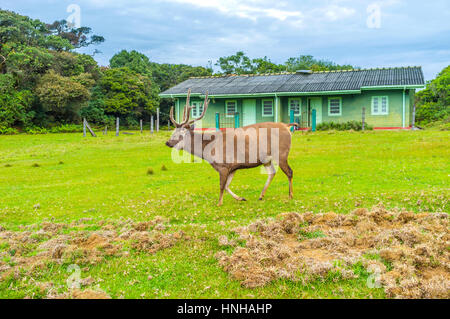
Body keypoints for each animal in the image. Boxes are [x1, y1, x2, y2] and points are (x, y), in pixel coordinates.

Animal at [167, 89, 298, 208]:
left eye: (181, 133)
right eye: (173, 131)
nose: (167, 142)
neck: (209, 150)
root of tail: (287, 126)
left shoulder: (224, 165)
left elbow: (221, 185)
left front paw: (219, 203)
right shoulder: (233, 167)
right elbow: (226, 186)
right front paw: (241, 198)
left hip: (281, 153)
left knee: (289, 171)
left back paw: (290, 195)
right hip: (266, 159)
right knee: (272, 172)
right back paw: (261, 196)